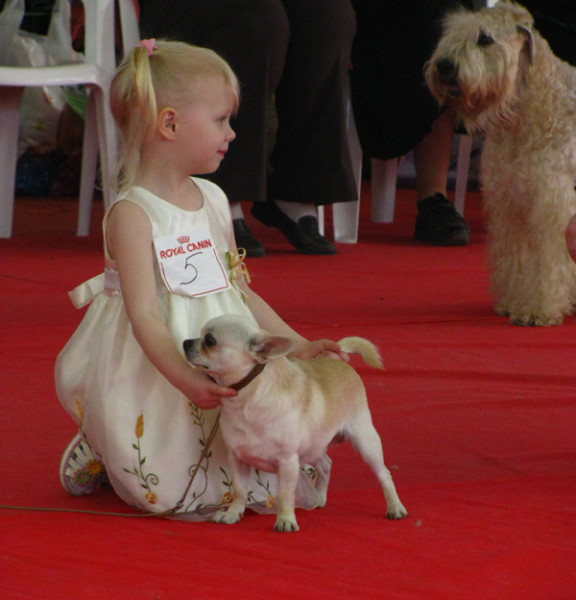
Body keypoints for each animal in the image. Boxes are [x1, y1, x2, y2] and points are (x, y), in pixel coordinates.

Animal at [183, 314, 407, 532]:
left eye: (209, 341)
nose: (186, 342)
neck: (247, 397)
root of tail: (341, 362)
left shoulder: (288, 461)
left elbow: (285, 495)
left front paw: (285, 520)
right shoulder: (238, 459)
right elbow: (239, 491)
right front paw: (232, 514)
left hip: (365, 441)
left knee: (384, 474)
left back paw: (395, 507)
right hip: (314, 446)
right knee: (325, 465)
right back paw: (320, 498)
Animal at [425, 0, 576, 326]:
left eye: (485, 38)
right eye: (451, 32)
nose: (445, 66)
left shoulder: (551, 203)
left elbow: (548, 262)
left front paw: (538, 309)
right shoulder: (509, 200)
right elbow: (518, 258)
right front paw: (514, 301)